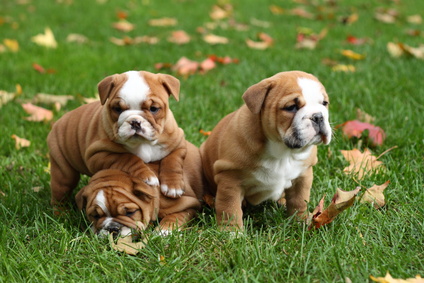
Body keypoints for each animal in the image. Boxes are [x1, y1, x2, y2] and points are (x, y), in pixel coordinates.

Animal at [47, 70, 187, 213]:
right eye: (118, 109)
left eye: (153, 108)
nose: (135, 121)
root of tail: (59, 121)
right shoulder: (98, 155)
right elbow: (128, 157)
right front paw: (147, 176)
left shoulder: (178, 143)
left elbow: (173, 161)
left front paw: (172, 186)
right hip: (62, 169)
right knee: (60, 189)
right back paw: (60, 212)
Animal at [76, 142, 204, 237]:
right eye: (95, 216)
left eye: (130, 212)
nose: (113, 228)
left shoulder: (189, 205)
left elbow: (174, 217)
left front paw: (164, 232)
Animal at [200, 70, 332, 231]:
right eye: (291, 107)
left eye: (324, 103)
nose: (318, 116)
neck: (283, 152)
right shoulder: (230, 180)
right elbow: (230, 208)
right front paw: (231, 231)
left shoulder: (303, 176)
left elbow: (299, 201)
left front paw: (300, 222)